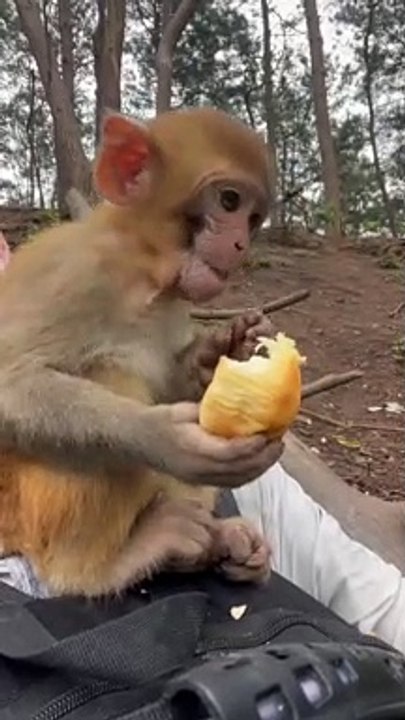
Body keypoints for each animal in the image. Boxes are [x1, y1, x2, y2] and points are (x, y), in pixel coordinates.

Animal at [0, 107, 283, 597]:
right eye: (229, 202)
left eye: (253, 219)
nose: (241, 245)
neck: (141, 273)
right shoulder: (74, 274)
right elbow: (10, 387)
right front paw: (163, 438)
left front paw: (222, 348)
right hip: (24, 509)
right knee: (110, 372)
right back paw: (106, 567)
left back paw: (220, 542)